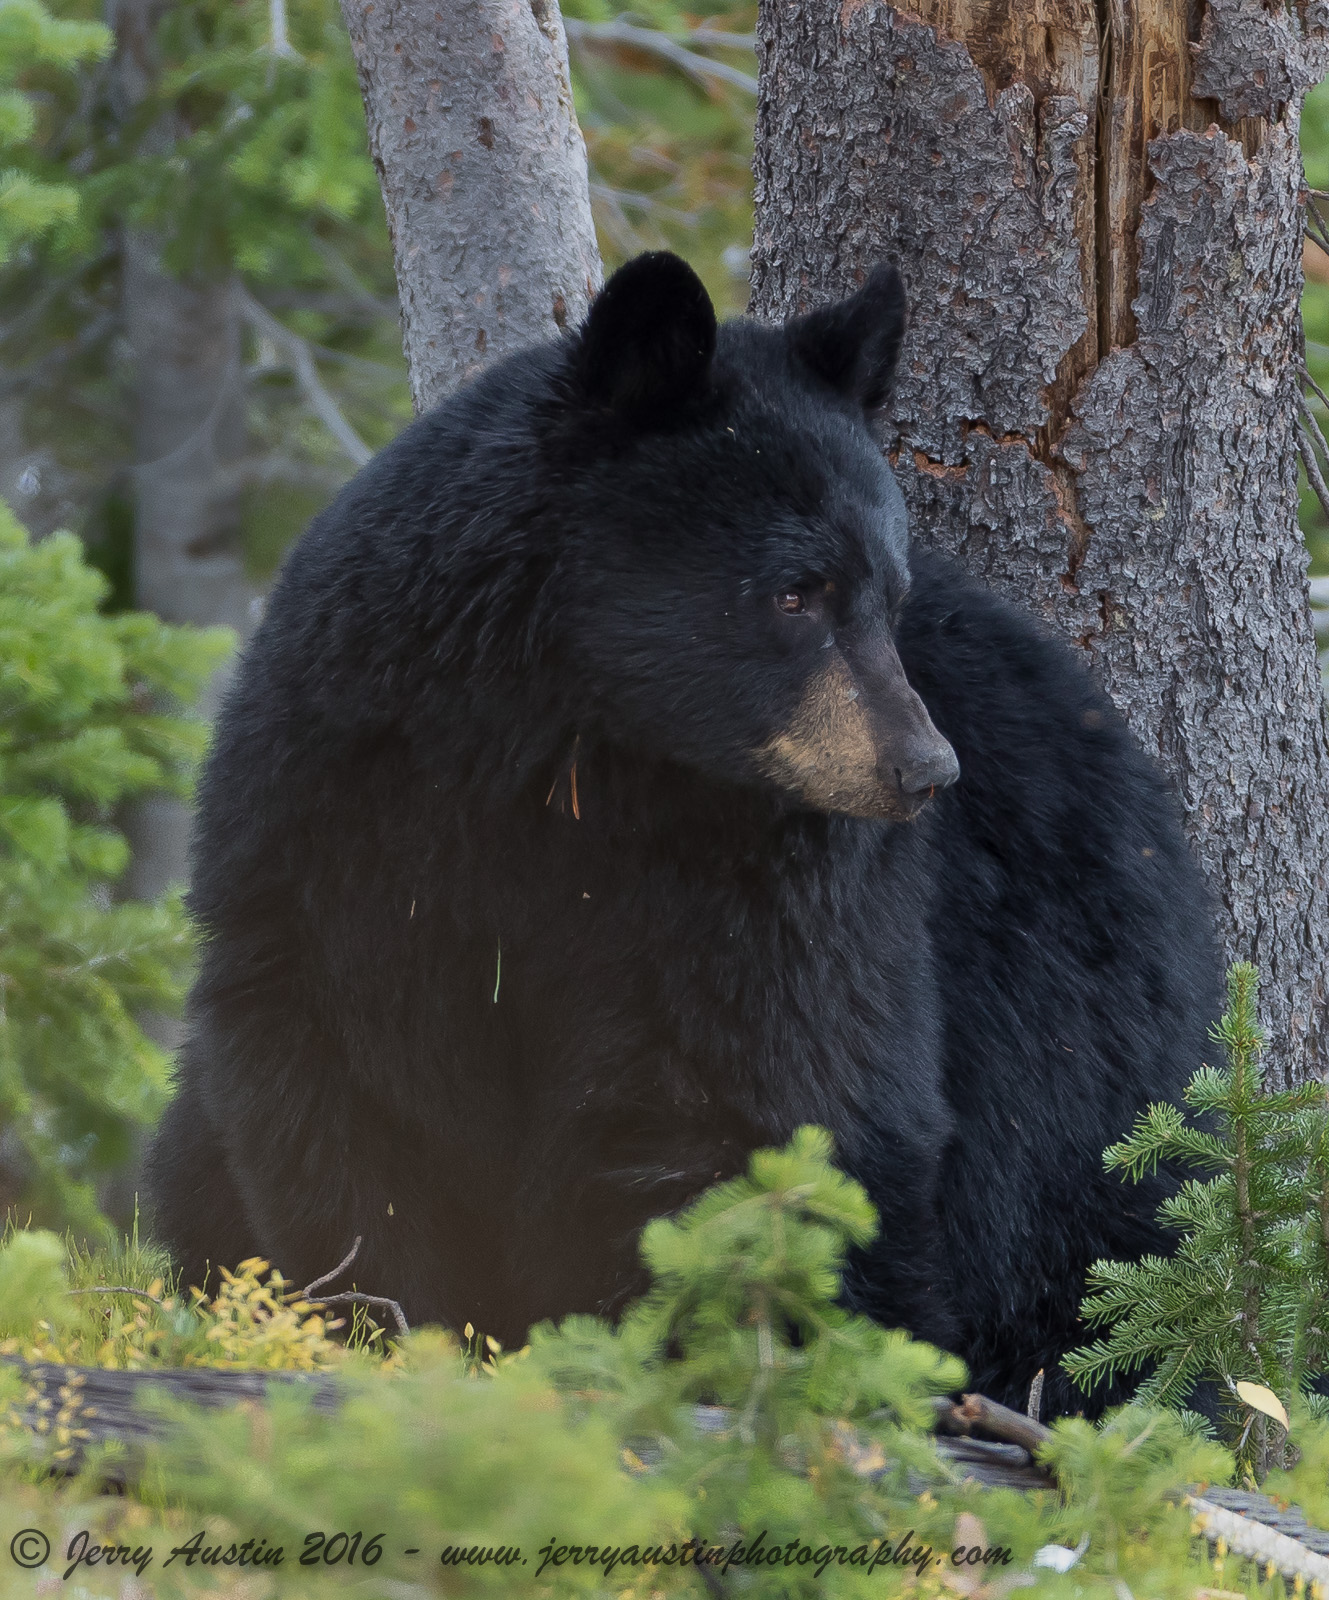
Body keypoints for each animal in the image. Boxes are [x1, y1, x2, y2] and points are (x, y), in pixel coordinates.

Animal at [146, 251, 1220, 1414]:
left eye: (888, 593)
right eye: (795, 592)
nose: (924, 770)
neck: (572, 752)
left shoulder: (779, 895)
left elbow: (769, 1102)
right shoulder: (344, 808)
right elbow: (339, 1088)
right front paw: (387, 1329)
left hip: (1089, 1076)